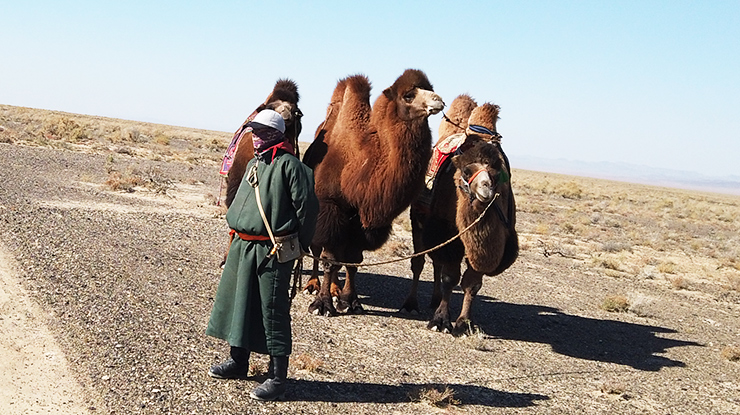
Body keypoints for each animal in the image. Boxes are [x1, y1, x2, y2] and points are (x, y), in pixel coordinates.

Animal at [302, 69, 445, 316]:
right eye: (408, 95)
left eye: (429, 88)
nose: (438, 100)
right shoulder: (330, 207)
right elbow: (329, 259)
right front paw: (322, 305)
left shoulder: (363, 222)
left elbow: (354, 260)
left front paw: (350, 301)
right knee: (318, 249)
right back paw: (313, 285)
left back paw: (335, 288)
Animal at [402, 95, 518, 336]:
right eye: (466, 171)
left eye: (496, 173)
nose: (486, 190)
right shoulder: (448, 233)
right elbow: (450, 278)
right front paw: (441, 321)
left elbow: (472, 283)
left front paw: (464, 323)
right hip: (419, 219)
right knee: (419, 261)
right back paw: (411, 304)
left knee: (436, 262)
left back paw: (434, 300)